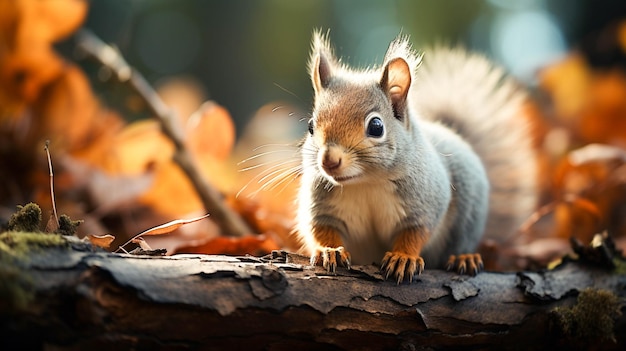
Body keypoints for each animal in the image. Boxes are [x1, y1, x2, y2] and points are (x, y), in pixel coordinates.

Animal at [294, 31, 536, 284]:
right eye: (311, 126)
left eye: (376, 126)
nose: (329, 161)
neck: (367, 182)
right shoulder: (322, 205)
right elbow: (322, 229)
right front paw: (330, 251)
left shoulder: (425, 201)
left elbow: (415, 231)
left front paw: (403, 257)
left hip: (468, 210)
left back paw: (464, 257)